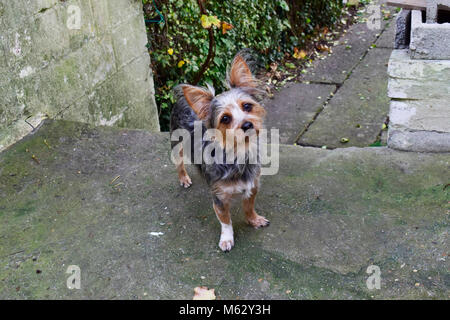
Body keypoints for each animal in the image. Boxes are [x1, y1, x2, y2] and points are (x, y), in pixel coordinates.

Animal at [171, 53, 268, 252]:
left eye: (247, 106)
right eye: (225, 118)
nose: (247, 124)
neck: (239, 153)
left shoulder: (253, 185)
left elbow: (249, 207)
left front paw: (253, 220)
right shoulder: (219, 198)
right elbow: (225, 220)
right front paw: (227, 239)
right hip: (176, 145)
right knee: (179, 164)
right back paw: (184, 178)